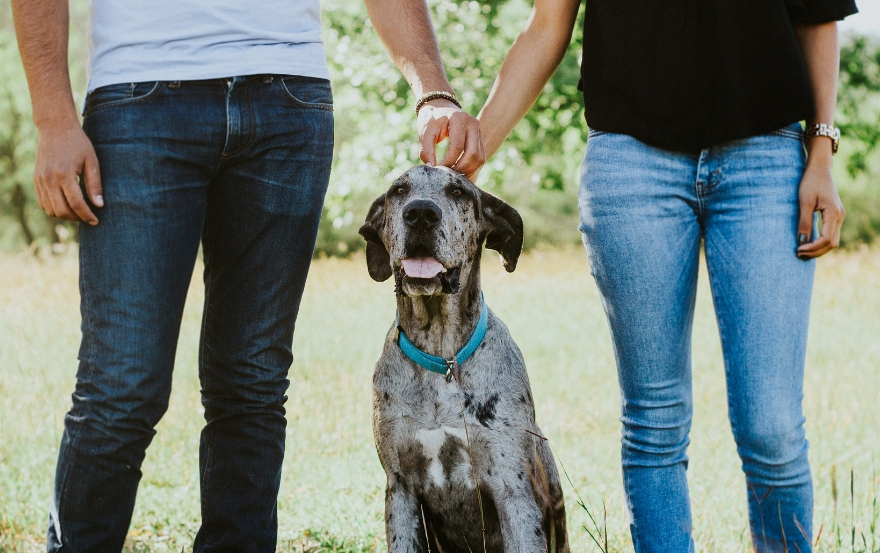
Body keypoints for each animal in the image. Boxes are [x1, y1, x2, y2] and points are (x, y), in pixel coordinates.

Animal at [360, 165, 572, 552]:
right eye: (399, 190)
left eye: (458, 192)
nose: (421, 213)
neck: (442, 357)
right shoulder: (400, 489)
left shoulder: (513, 489)